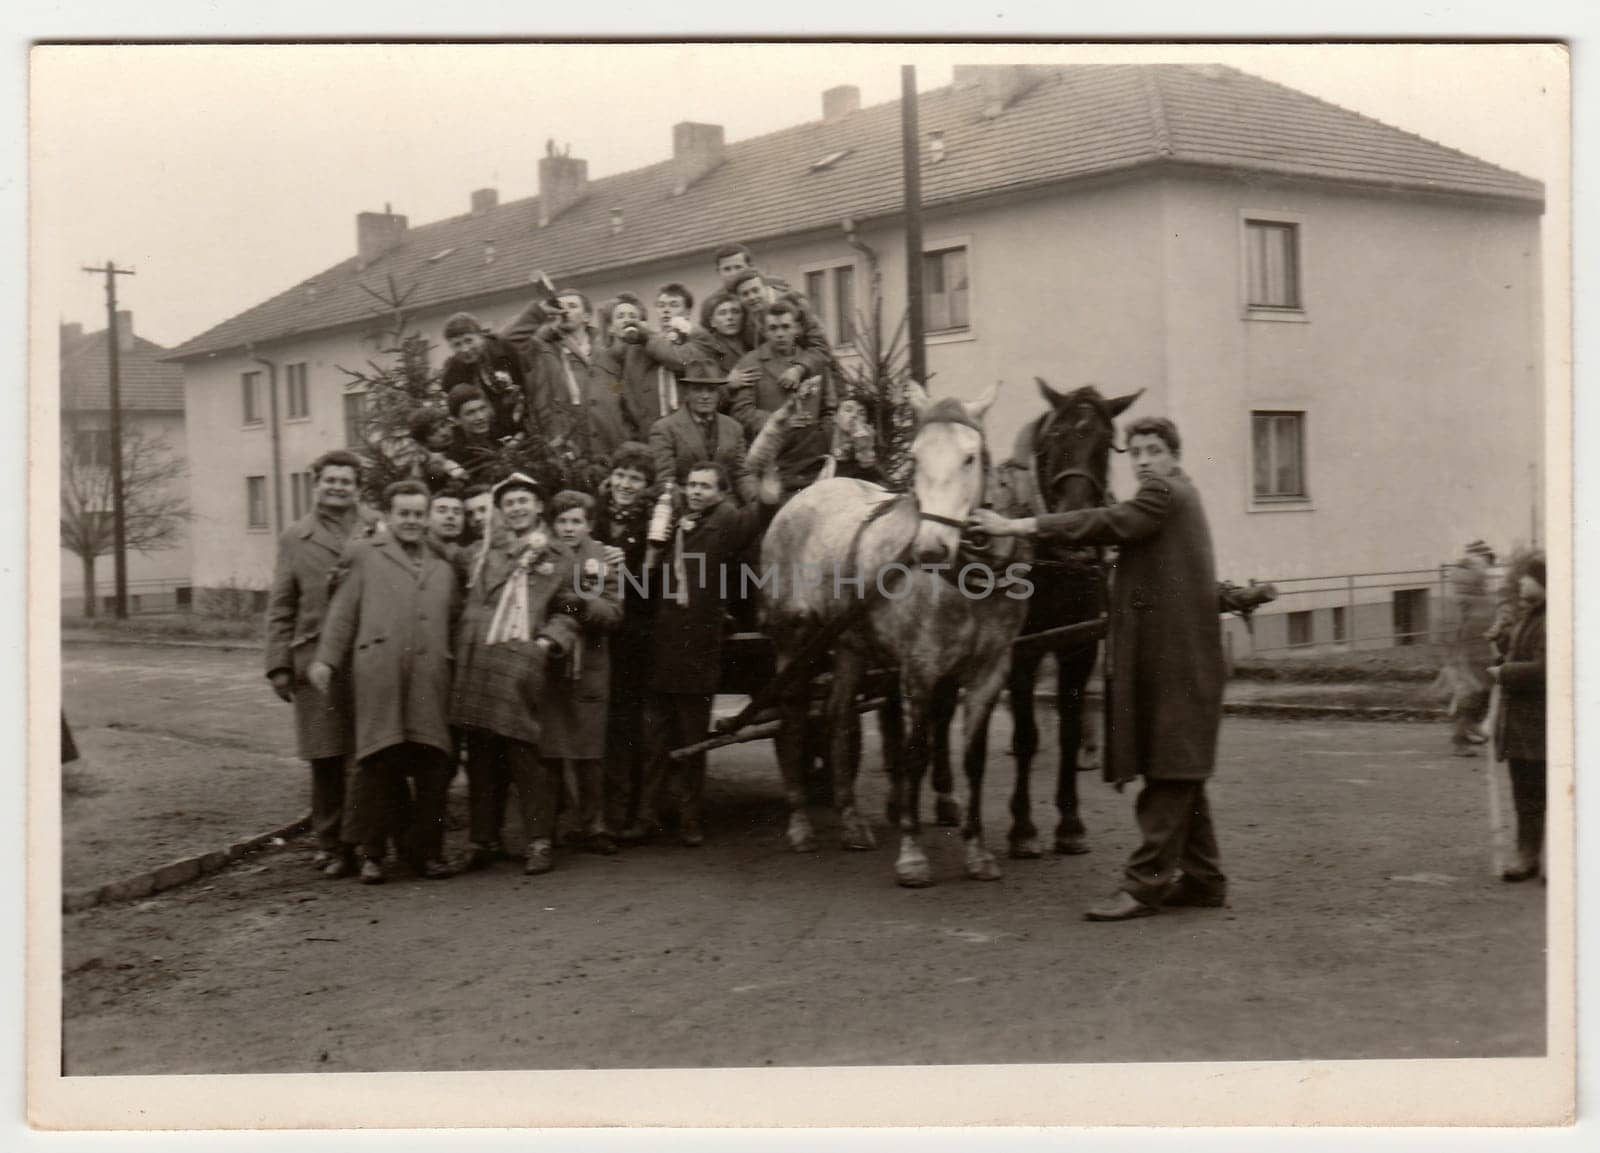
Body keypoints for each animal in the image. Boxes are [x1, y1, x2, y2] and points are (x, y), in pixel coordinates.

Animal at [998, 382, 1139, 857]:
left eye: (1106, 442)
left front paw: (1070, 823)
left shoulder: (1079, 646)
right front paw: (1023, 828)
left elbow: (1070, 731)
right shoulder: (1020, 652)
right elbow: (1026, 736)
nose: (1073, 515)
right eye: (1055, 436)